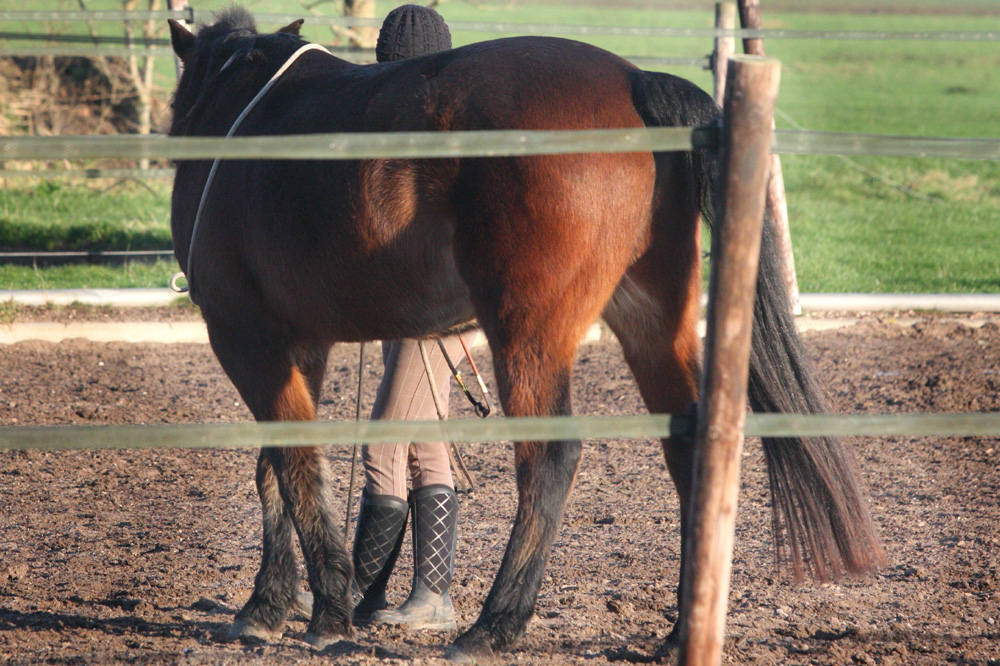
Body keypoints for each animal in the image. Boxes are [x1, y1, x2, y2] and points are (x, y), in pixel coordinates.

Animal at [168, 10, 888, 660]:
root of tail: (632, 82)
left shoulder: (245, 338)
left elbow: (290, 466)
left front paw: (319, 613)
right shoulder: (298, 344)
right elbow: (276, 465)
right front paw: (270, 606)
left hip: (528, 333)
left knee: (550, 458)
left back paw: (493, 627)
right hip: (651, 320)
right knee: (690, 450)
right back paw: (680, 632)